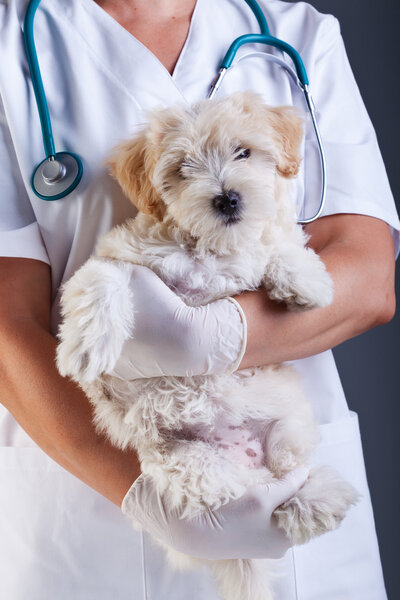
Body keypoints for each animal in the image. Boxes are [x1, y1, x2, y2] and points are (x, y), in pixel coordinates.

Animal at [56, 91, 360, 600]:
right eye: (182, 169)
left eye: (243, 152)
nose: (227, 198)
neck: (209, 248)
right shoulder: (120, 257)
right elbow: (105, 277)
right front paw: (87, 343)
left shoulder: (255, 249)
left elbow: (276, 243)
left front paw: (306, 280)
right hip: (175, 460)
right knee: (225, 491)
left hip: (288, 428)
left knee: (288, 471)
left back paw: (318, 499)